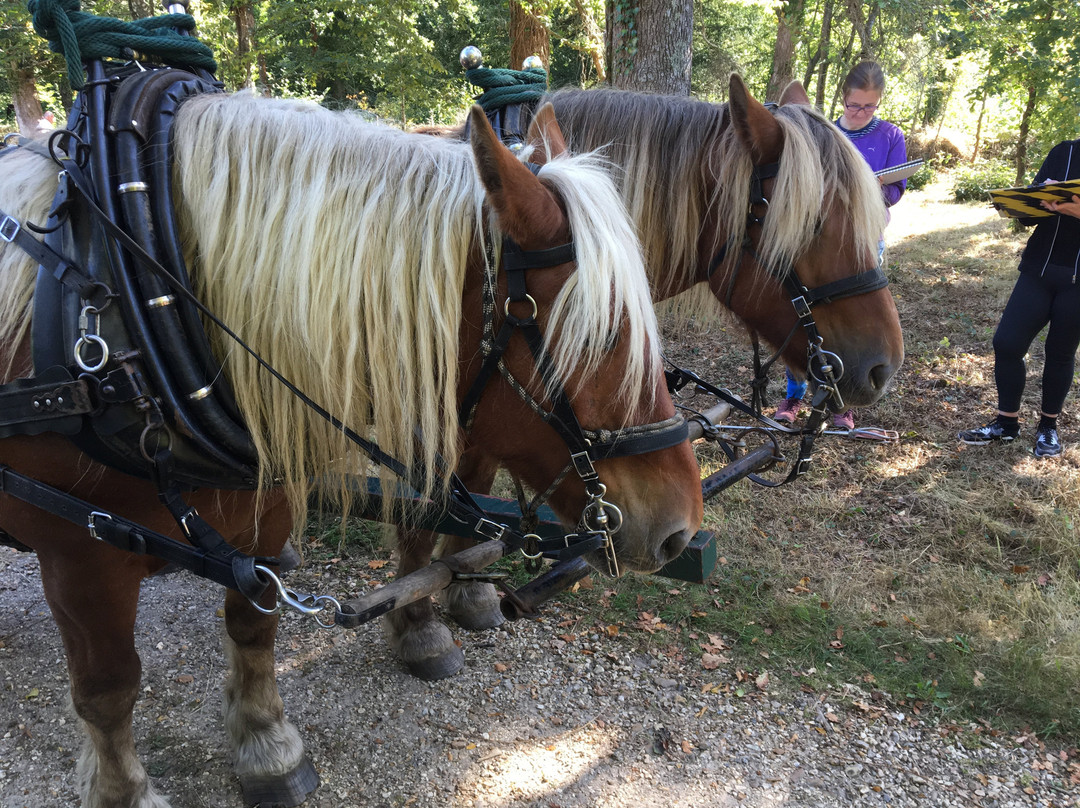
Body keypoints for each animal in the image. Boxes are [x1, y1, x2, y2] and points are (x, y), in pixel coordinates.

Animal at [0, 92, 699, 803]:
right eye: (602, 332)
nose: (682, 529)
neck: (130, 313)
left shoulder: (265, 508)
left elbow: (254, 625)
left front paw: (266, 742)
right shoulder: (79, 551)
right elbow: (108, 688)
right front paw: (123, 790)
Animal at [397, 73, 902, 682]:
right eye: (816, 222)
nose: (883, 367)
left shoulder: (491, 410)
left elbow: (470, 491)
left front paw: (467, 591)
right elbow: (422, 513)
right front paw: (419, 622)